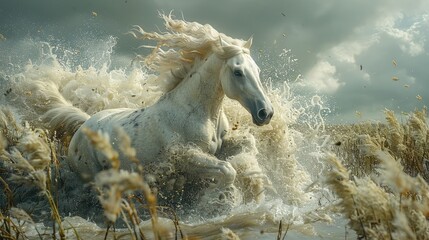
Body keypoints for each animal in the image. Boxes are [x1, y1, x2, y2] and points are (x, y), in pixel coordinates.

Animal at [30, 14, 272, 195]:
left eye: (257, 70)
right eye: (238, 72)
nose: (266, 113)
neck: (196, 112)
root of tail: (84, 125)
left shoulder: (220, 146)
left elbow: (247, 144)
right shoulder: (186, 157)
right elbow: (227, 170)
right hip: (93, 177)